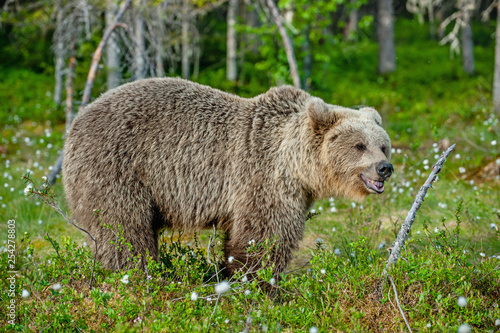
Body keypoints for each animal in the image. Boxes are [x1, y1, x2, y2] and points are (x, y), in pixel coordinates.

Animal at [62, 78, 392, 274]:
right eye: (360, 145)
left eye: (383, 145)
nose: (384, 168)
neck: (296, 166)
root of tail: (76, 121)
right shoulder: (260, 177)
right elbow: (262, 236)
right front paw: (258, 283)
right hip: (117, 168)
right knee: (123, 228)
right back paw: (137, 273)